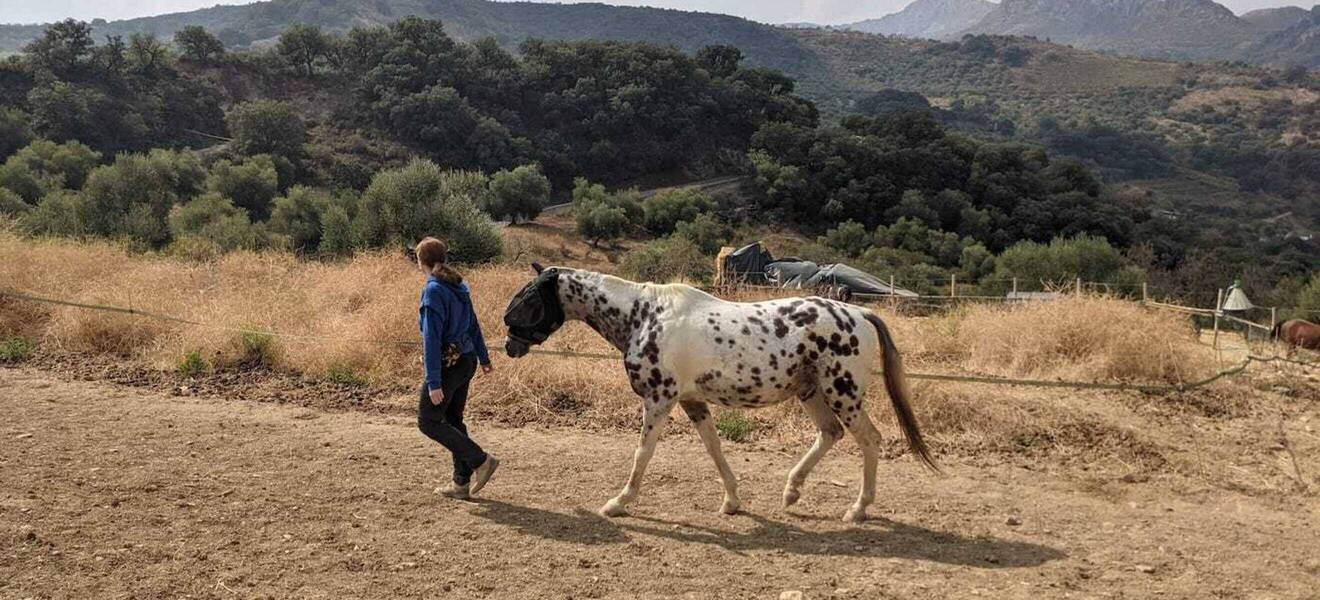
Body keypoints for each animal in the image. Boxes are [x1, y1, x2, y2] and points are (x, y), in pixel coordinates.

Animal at [502, 264, 937, 523]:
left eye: (529, 297)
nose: (508, 344)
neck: (643, 317)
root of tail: (862, 313)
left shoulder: (659, 400)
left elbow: (643, 453)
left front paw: (618, 502)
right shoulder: (692, 401)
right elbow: (714, 448)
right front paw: (732, 501)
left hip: (842, 392)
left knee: (869, 439)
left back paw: (857, 509)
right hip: (811, 391)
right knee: (831, 434)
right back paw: (791, 492)